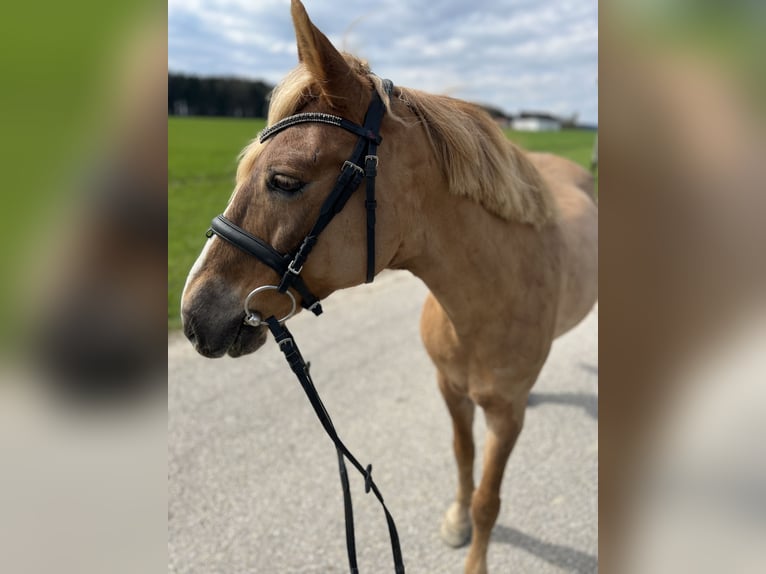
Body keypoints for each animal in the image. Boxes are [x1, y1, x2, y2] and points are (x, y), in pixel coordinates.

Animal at [180, 1, 597, 572]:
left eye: (284, 180)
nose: (192, 311)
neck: (485, 304)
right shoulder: (450, 390)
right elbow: (464, 458)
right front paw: (456, 518)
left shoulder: (505, 417)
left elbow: (488, 499)